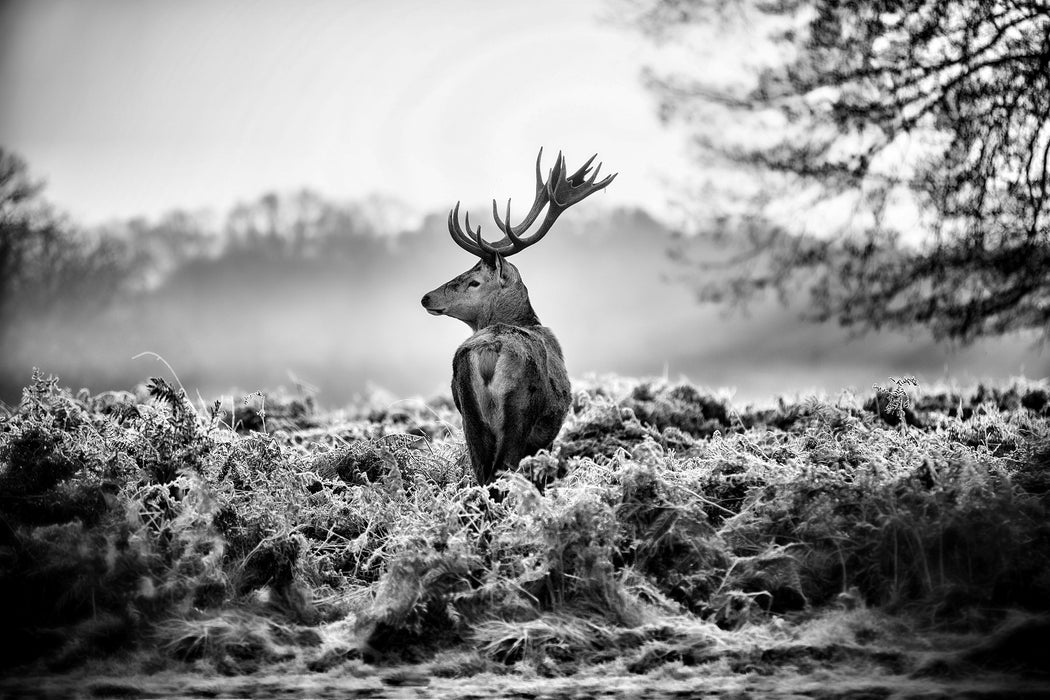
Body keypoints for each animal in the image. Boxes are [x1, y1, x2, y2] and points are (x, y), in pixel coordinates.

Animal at [419, 147, 613, 486]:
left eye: (473, 281)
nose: (427, 297)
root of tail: (489, 351)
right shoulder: (546, 436)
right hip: (520, 411)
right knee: (503, 469)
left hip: (469, 414)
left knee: (483, 472)